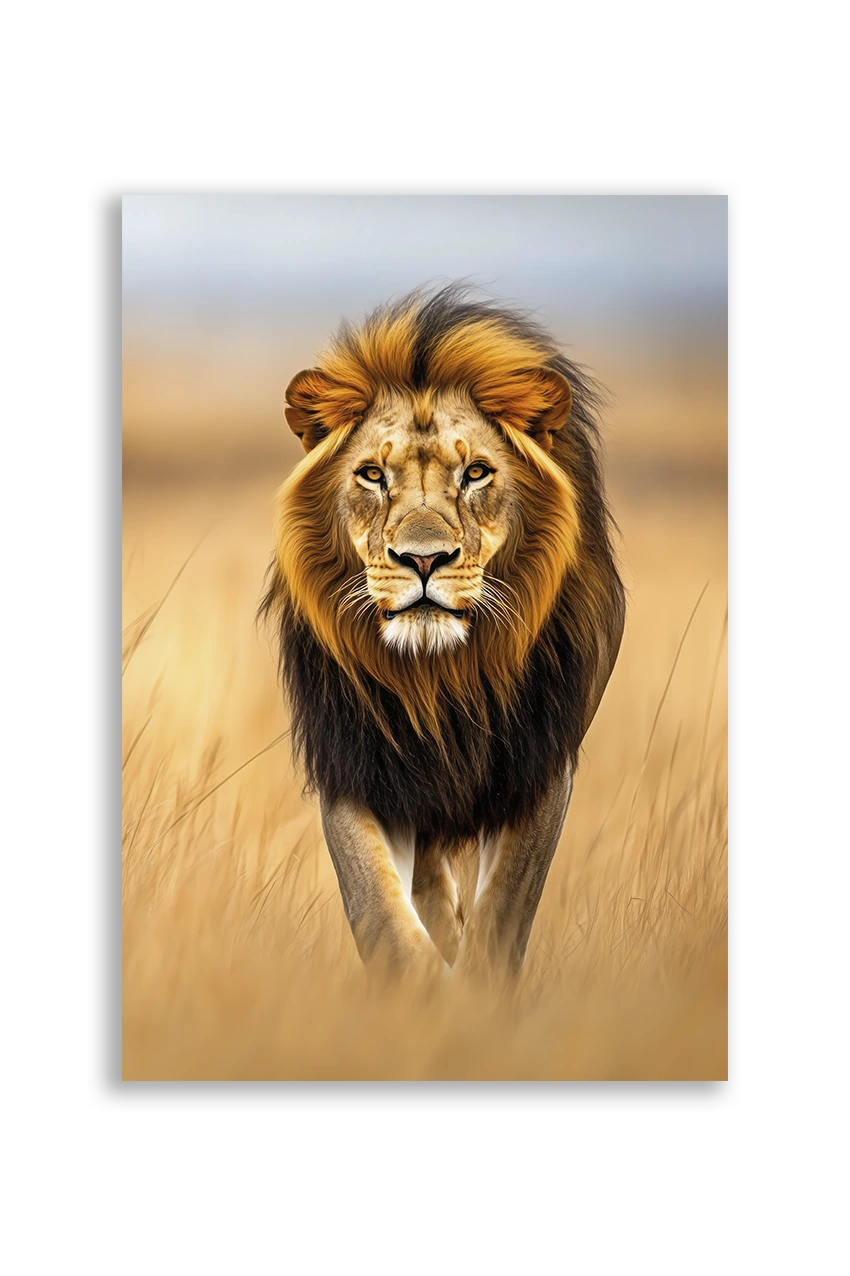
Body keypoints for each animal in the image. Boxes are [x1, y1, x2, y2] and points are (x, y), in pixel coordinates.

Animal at [261, 284, 625, 980]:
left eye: (476, 473)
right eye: (372, 475)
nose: (423, 560)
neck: (438, 678)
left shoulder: (540, 764)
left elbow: (503, 913)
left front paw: (473, 992)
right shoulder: (356, 761)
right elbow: (380, 909)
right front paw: (426, 988)